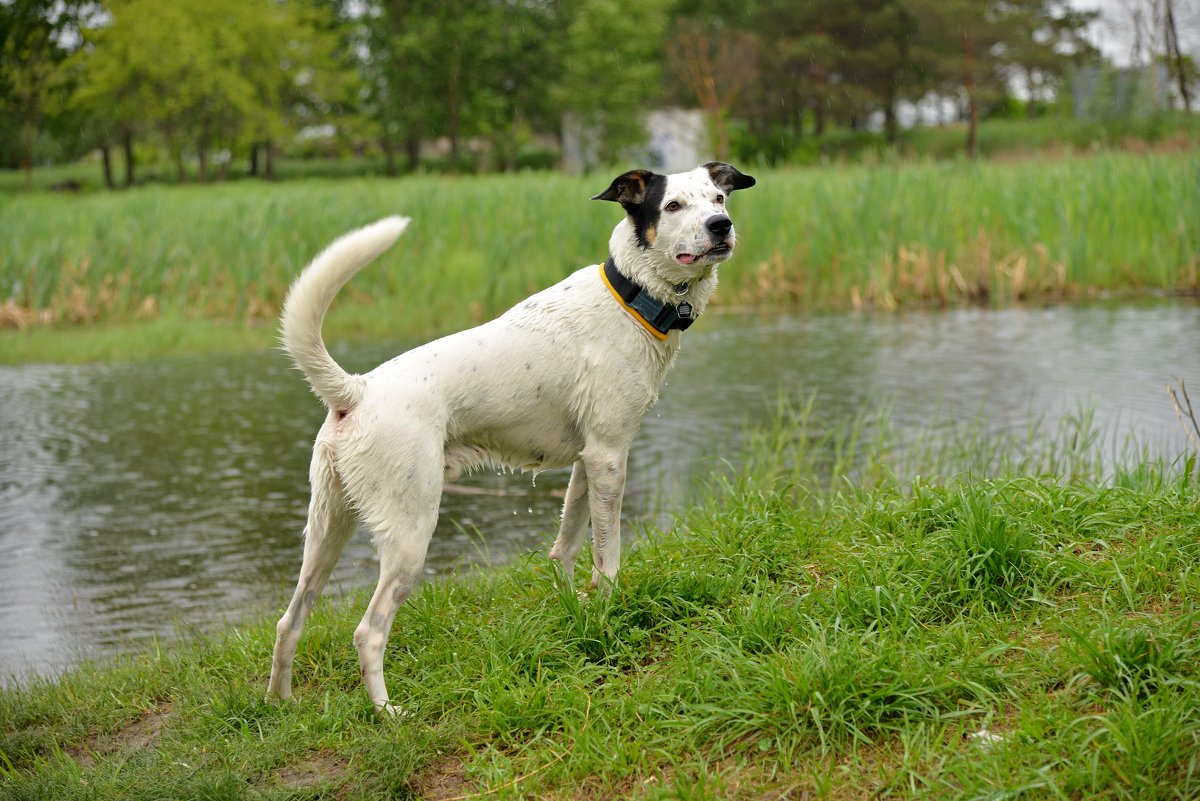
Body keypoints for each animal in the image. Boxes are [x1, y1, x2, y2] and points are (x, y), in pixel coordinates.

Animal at [271, 163, 753, 714]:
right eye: (673, 206)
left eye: (718, 198)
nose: (720, 225)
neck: (632, 296)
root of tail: (356, 389)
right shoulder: (610, 455)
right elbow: (607, 556)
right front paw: (608, 607)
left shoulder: (587, 461)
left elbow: (566, 546)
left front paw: (575, 606)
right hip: (410, 531)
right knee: (367, 632)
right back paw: (388, 713)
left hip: (327, 528)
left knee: (290, 619)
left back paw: (279, 705)